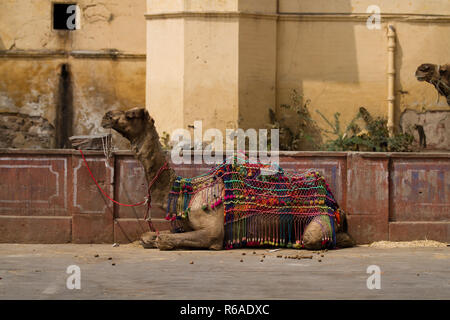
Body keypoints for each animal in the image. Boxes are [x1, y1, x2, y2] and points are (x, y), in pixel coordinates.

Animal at [102, 107, 356, 250]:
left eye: (131, 115)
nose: (106, 116)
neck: (185, 193)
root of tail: (337, 205)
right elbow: (148, 236)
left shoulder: (213, 231)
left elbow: (166, 242)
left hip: (320, 221)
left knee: (313, 239)